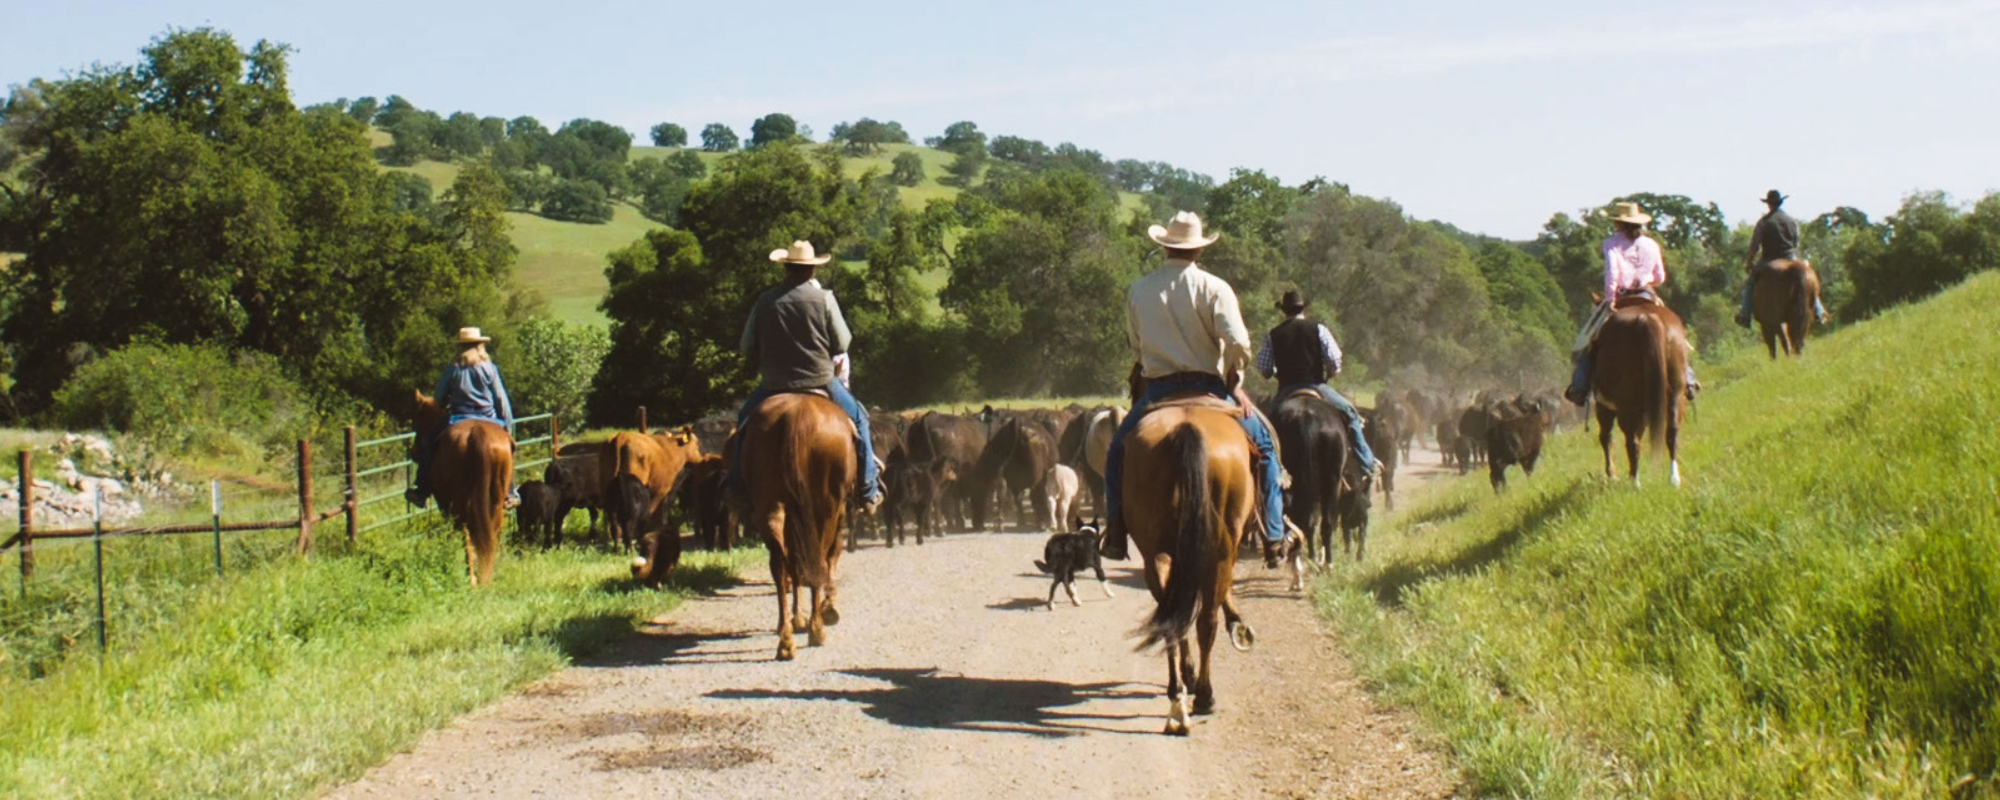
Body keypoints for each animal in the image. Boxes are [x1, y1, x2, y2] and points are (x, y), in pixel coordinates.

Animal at [406, 394, 512, 588]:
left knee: (466, 533)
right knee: (492, 531)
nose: (414, 452)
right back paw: (488, 573)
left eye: (416, 420)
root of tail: (477, 433)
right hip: (495, 500)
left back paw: (472, 577)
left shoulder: (445, 503)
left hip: (458, 503)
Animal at [740, 394, 856, 664]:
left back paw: (786, 641)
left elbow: (795, 566)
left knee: (781, 567)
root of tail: (796, 415)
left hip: (771, 507)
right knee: (819, 560)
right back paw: (817, 629)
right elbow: (831, 555)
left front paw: (797, 616)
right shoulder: (839, 511)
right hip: (826, 507)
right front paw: (828, 608)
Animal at [1120, 390, 1256, 736]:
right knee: (1202, 619)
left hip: (1157, 552)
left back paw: (1181, 690)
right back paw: (1202, 694)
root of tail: (1186, 429)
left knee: (1176, 617)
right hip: (1218, 548)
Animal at [1592, 296, 1688, 488]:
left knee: (1630, 440)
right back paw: (1673, 479)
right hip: (1675, 394)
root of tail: (1647, 319)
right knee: (1672, 431)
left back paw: (1635, 482)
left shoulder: (1603, 406)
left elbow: (1606, 437)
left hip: (1625, 406)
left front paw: (1612, 474)